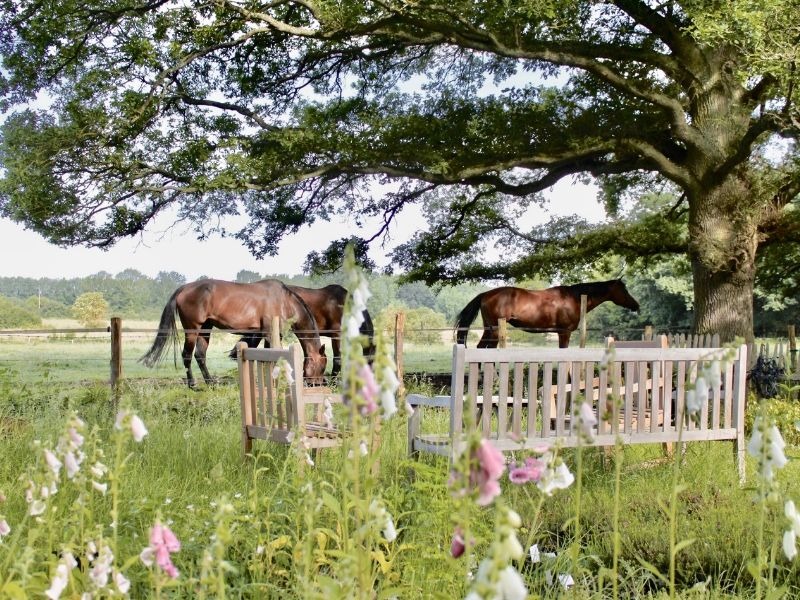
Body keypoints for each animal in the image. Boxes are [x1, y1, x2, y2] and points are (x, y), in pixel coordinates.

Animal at [142, 278, 326, 386]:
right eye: (323, 366)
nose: (318, 384)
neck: (284, 300)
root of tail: (184, 288)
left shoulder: (267, 334)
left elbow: (268, 356)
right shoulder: (269, 333)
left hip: (205, 330)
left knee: (200, 356)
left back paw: (210, 383)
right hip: (192, 330)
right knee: (187, 355)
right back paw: (192, 384)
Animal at [454, 280, 640, 350]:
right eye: (623, 289)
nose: (636, 305)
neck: (573, 298)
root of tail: (485, 294)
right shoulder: (564, 332)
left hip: (488, 329)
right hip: (494, 331)